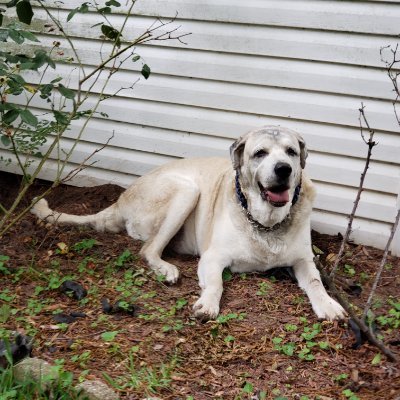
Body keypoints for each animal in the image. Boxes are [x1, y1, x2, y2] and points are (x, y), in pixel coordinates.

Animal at [31, 126, 346, 320]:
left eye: (291, 152)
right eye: (260, 153)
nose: (284, 169)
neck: (265, 222)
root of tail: (122, 198)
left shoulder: (303, 260)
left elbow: (316, 282)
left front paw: (329, 305)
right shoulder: (213, 258)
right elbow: (216, 283)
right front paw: (208, 303)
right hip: (186, 190)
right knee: (148, 249)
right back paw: (167, 268)